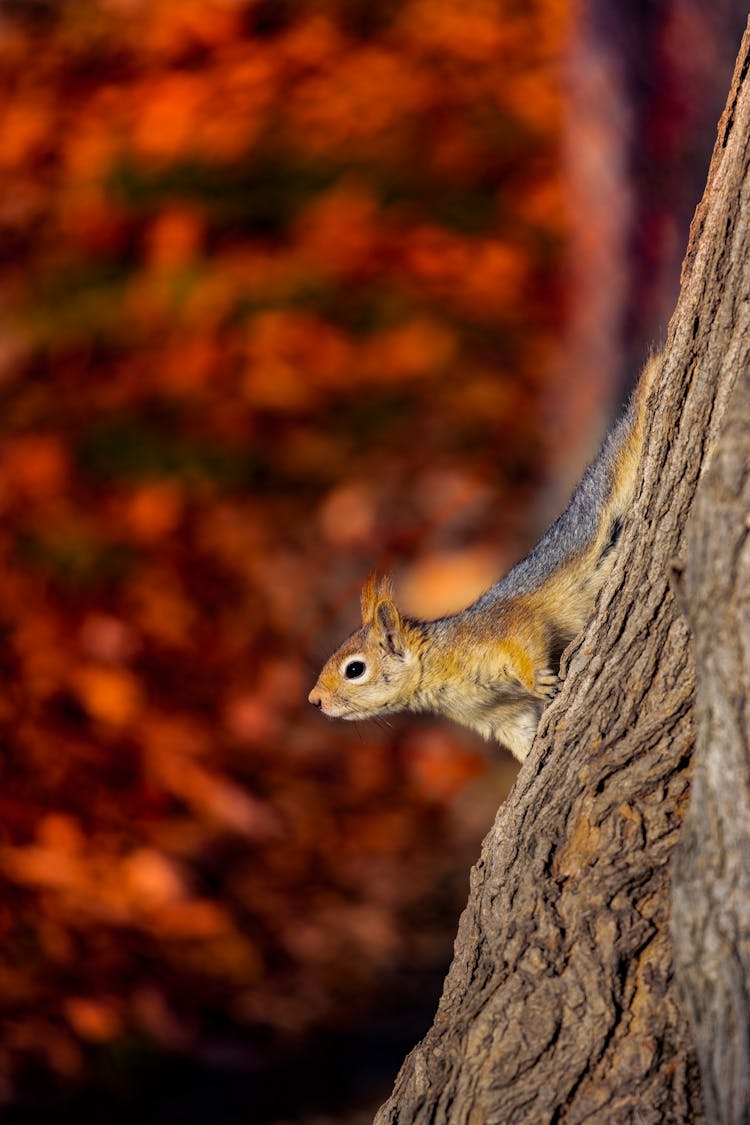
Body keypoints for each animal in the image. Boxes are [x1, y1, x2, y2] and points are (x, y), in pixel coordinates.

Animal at [308, 355, 661, 760]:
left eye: (354, 669)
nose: (314, 700)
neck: (438, 673)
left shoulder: (495, 631)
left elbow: (523, 634)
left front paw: (536, 681)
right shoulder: (500, 716)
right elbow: (522, 736)